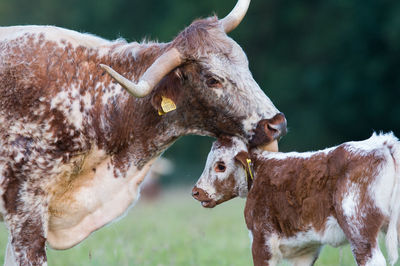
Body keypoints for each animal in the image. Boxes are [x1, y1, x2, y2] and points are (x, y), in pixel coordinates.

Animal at [192, 135, 400, 266]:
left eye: (220, 166)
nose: (196, 192)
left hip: (359, 228)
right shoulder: (305, 248)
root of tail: (383, 143)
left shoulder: (262, 240)